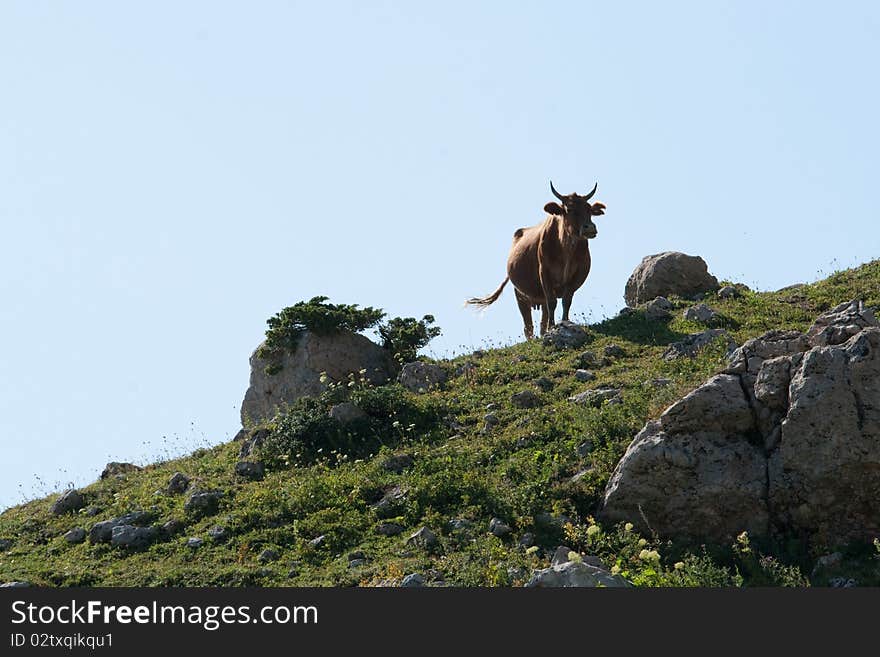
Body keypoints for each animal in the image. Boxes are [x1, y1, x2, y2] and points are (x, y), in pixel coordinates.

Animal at [468, 179, 604, 338]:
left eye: (589, 210)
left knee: (542, 321)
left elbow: (566, 301)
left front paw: (565, 322)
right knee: (528, 326)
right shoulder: (544, 273)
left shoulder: (577, 275)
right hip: (520, 296)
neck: (566, 248)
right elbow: (552, 302)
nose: (590, 228)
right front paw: (553, 327)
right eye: (569, 209)